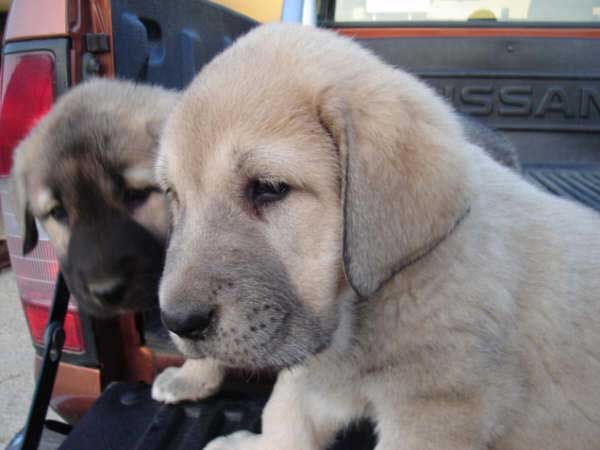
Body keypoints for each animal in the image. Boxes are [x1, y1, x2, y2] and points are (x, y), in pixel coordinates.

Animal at [156, 25, 600, 450]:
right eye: (174, 196)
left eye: (269, 188)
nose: (178, 322)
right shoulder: (323, 369)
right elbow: (285, 412)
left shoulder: (433, 407)